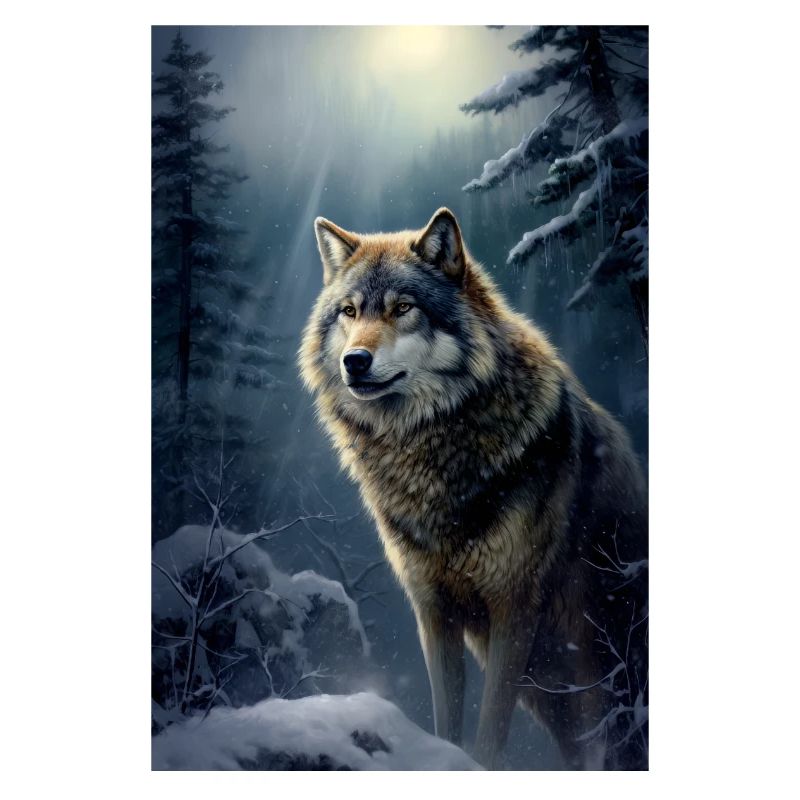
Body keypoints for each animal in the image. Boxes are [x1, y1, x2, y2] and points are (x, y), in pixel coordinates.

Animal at [299, 208, 648, 770]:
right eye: (349, 311)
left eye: (403, 308)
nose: (355, 360)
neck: (430, 449)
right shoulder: (433, 612)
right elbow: (448, 718)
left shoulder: (514, 608)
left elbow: (489, 734)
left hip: (599, 667)